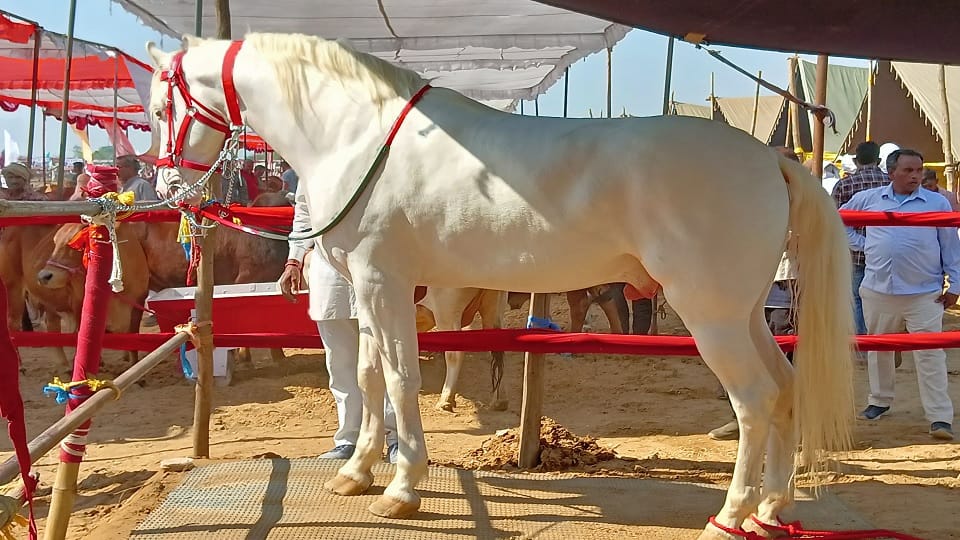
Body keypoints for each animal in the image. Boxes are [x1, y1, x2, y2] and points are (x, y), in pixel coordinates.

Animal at [144, 33, 854, 537]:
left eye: (158, 108)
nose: (170, 188)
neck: (357, 135)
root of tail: (768, 157)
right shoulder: (372, 291)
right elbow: (372, 377)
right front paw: (357, 473)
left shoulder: (383, 281)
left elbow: (400, 378)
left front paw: (402, 488)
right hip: (745, 313)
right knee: (785, 390)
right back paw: (772, 507)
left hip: (710, 316)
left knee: (756, 400)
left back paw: (730, 517)